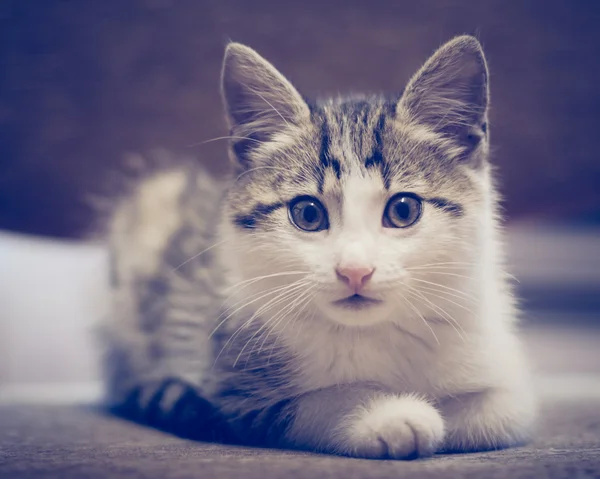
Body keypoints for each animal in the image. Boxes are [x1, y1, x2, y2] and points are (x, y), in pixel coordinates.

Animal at [102, 35, 536, 460]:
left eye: (403, 210)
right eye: (308, 214)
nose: (355, 270)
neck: (376, 332)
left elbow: (502, 411)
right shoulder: (232, 382)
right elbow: (310, 403)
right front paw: (390, 413)